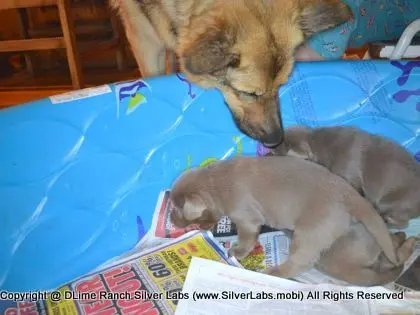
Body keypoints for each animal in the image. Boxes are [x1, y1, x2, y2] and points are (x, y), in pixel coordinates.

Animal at [168, 157, 410, 286]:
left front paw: (237, 252)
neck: (215, 182)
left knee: (300, 262)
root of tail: (349, 194)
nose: (170, 218)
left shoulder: (247, 217)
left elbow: (247, 238)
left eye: (176, 210)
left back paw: (272, 274)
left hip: (311, 231)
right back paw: (406, 240)